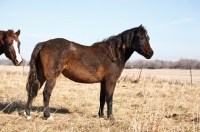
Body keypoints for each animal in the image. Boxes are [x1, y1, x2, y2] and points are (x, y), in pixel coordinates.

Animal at [24, 24, 153, 119]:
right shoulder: (111, 81)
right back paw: (47, 115)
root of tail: (44, 43)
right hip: (51, 77)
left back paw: (28, 114)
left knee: (32, 91)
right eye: (141, 37)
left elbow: (102, 98)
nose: (151, 53)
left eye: (148, 38)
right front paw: (110, 117)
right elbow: (109, 98)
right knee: (46, 93)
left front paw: (101, 116)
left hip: (40, 76)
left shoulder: (103, 82)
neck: (112, 55)